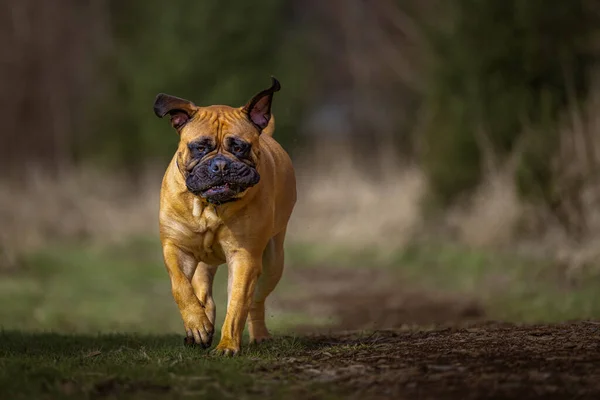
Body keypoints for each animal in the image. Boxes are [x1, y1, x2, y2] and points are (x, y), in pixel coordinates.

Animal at [154, 78, 296, 356]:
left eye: (239, 147)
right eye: (200, 147)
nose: (220, 165)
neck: (209, 208)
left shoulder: (244, 257)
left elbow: (238, 303)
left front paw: (227, 345)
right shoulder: (175, 248)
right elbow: (181, 286)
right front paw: (197, 324)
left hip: (273, 262)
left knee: (256, 301)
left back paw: (259, 335)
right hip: (203, 261)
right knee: (202, 292)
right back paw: (201, 326)